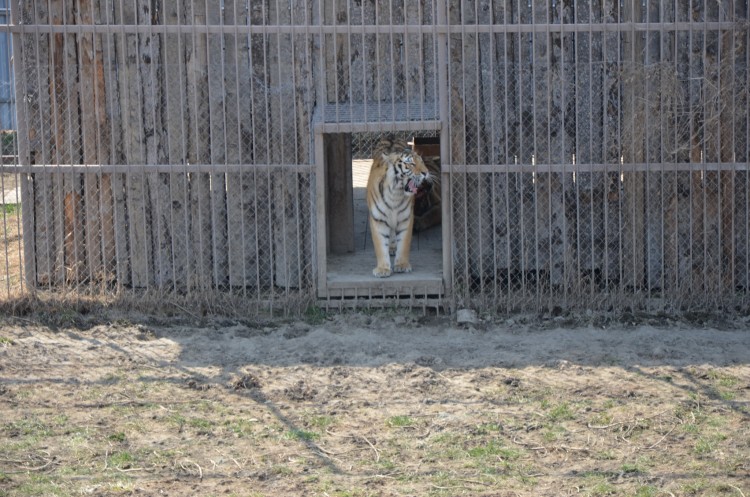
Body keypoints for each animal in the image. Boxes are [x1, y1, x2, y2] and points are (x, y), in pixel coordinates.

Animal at [368, 138, 432, 278]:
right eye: (411, 163)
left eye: (421, 161)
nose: (426, 172)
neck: (395, 193)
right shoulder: (378, 219)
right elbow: (380, 245)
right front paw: (382, 269)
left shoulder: (405, 218)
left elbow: (403, 243)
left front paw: (402, 265)